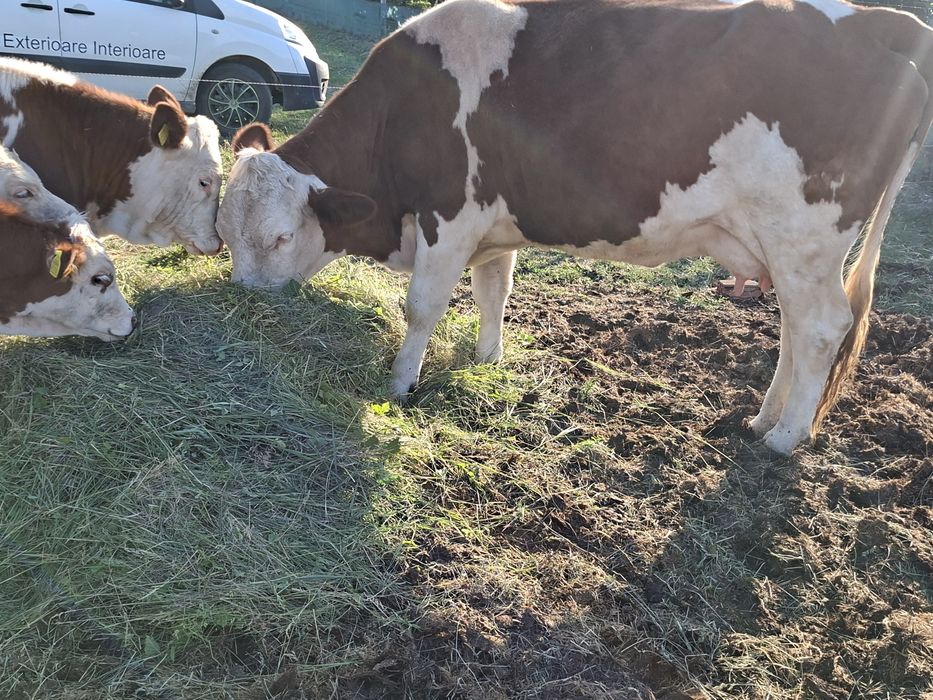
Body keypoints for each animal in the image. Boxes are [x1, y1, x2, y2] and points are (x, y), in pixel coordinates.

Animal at [216, 0, 933, 455]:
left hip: (805, 236)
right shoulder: (493, 224)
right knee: (795, 328)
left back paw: (785, 440)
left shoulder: (450, 214)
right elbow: (494, 291)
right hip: (786, 247)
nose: (243, 300)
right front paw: (486, 360)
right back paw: (763, 421)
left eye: (281, 237)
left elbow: (421, 306)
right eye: (225, 232)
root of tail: (880, 21)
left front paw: (399, 385)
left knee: (822, 327)